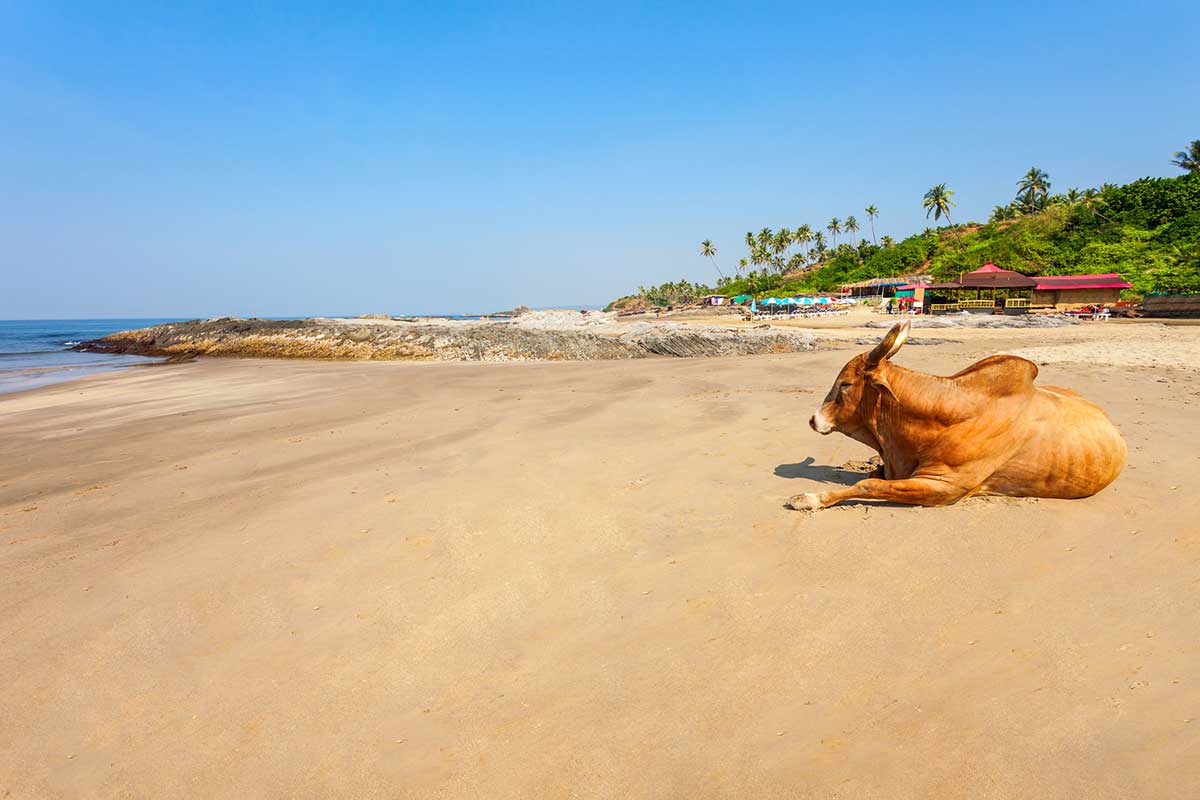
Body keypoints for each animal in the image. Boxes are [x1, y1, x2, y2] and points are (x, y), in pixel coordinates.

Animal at [787, 320, 1126, 511]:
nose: (814, 419)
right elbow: (872, 476)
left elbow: (867, 486)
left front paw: (809, 499)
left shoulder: (945, 487)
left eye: (845, 384)